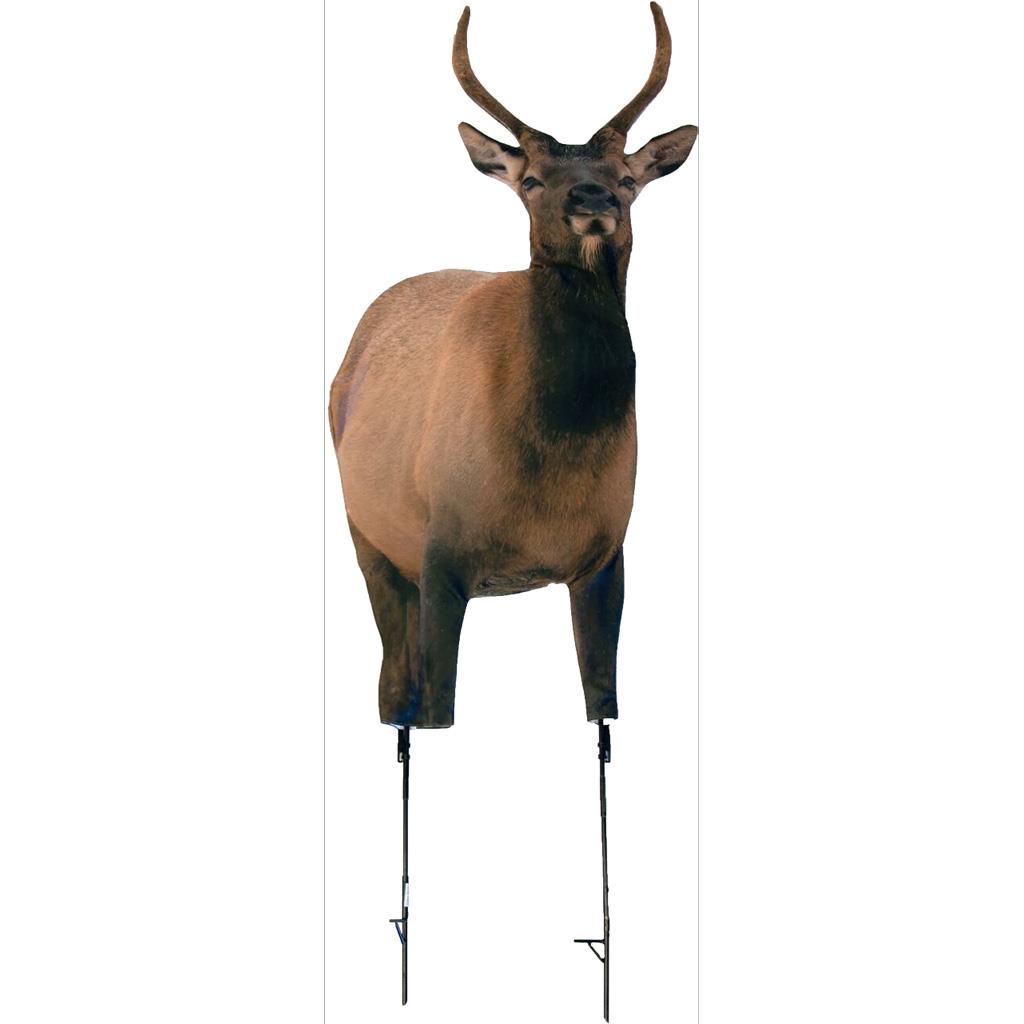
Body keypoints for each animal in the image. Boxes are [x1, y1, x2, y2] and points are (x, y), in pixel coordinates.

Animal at [328, 5, 696, 1017]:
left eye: (628, 176)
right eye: (532, 178)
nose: (592, 202)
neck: (547, 465)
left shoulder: (606, 555)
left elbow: (604, 706)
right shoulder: (446, 554)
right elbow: (442, 711)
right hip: (370, 543)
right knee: (395, 691)